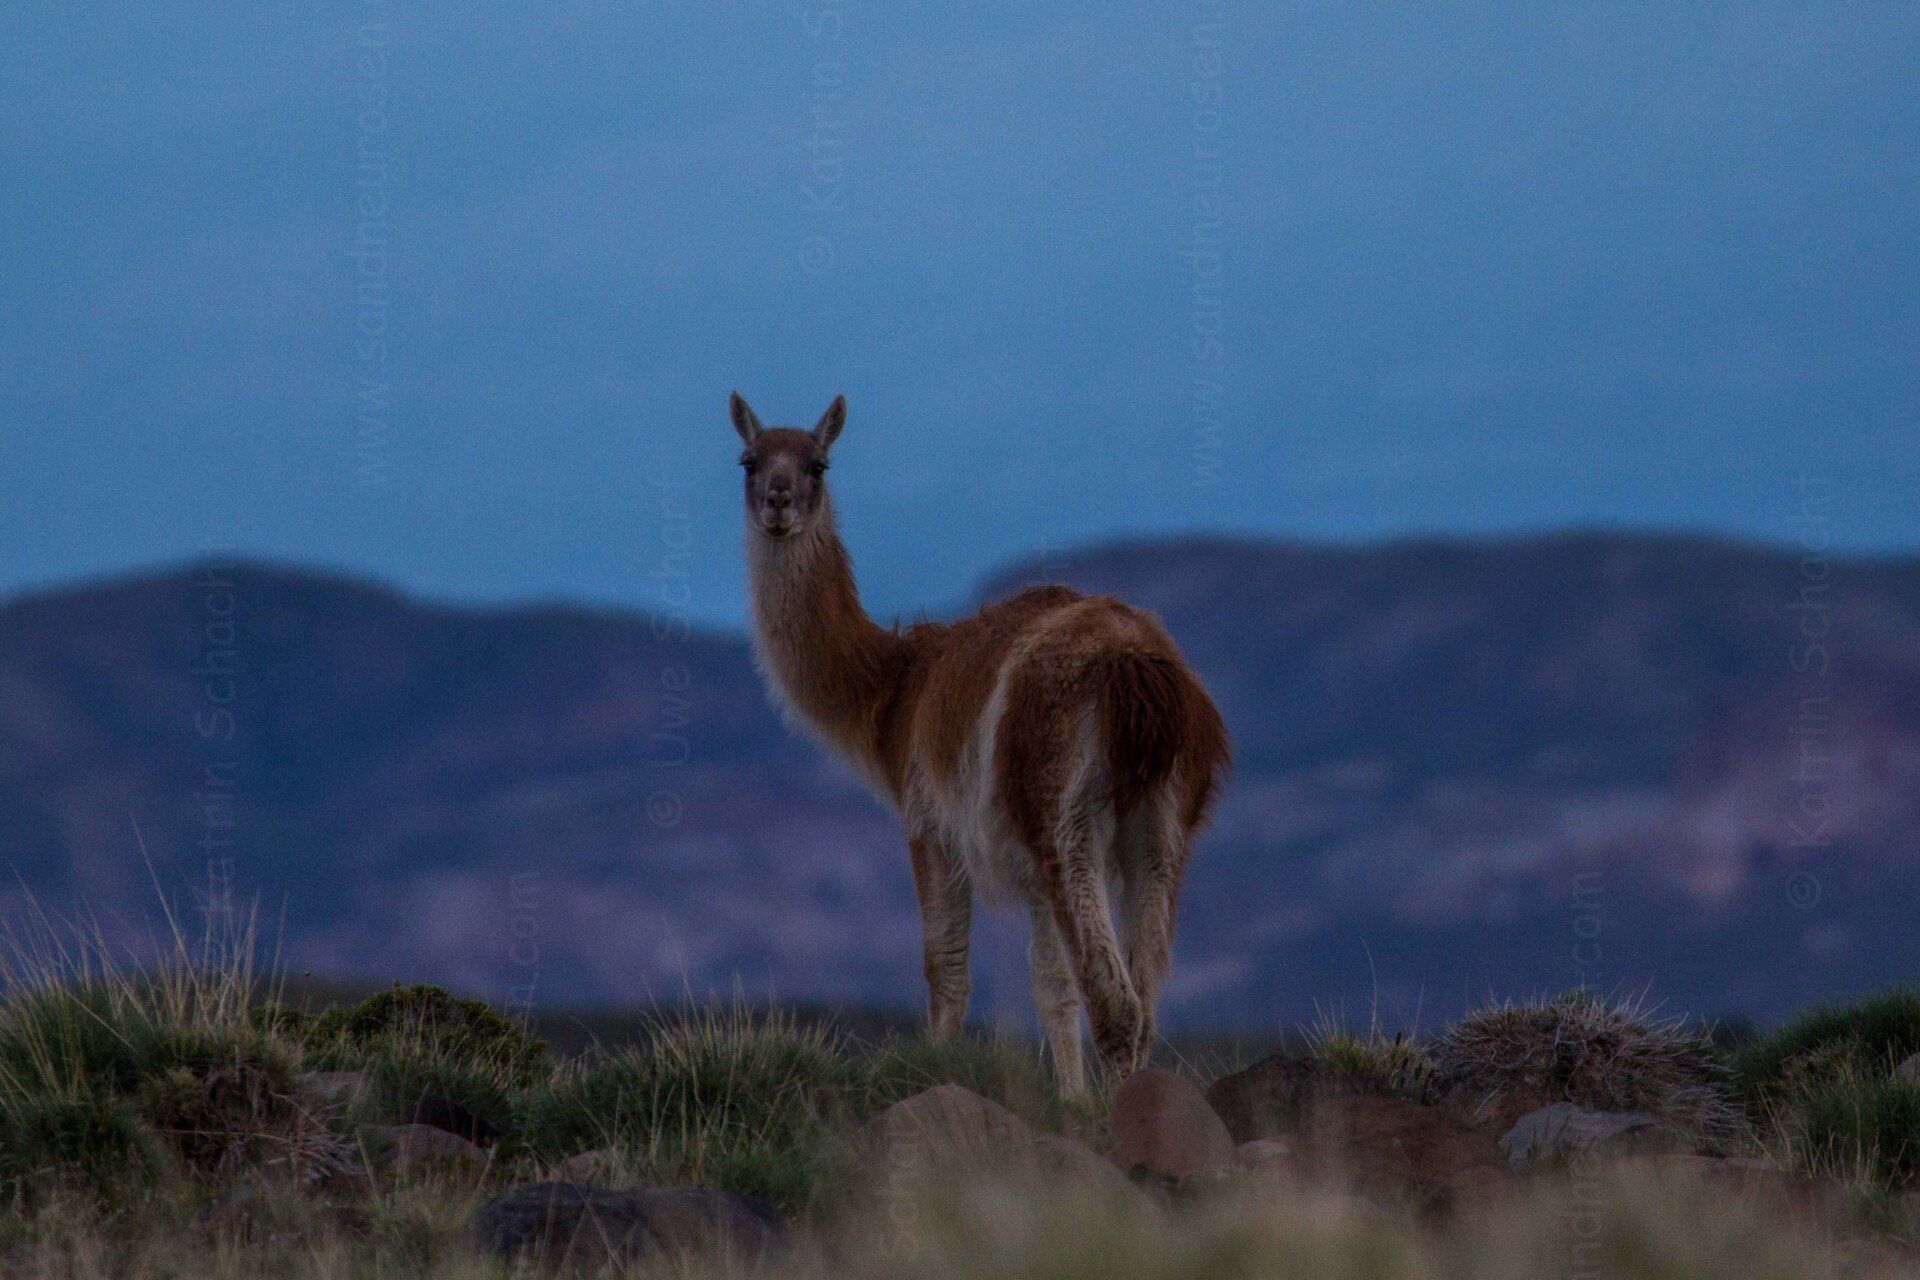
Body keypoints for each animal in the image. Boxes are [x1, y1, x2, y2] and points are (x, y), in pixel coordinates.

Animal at [730, 392, 1230, 1092]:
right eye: (750, 461)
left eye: (818, 465)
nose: (778, 501)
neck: (898, 686)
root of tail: (1141, 672)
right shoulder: (1025, 862)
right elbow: (1051, 986)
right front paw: (1071, 1101)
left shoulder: (930, 822)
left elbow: (946, 971)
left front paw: (934, 1076)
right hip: (1163, 828)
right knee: (1145, 996)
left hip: (1065, 815)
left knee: (1117, 1003)